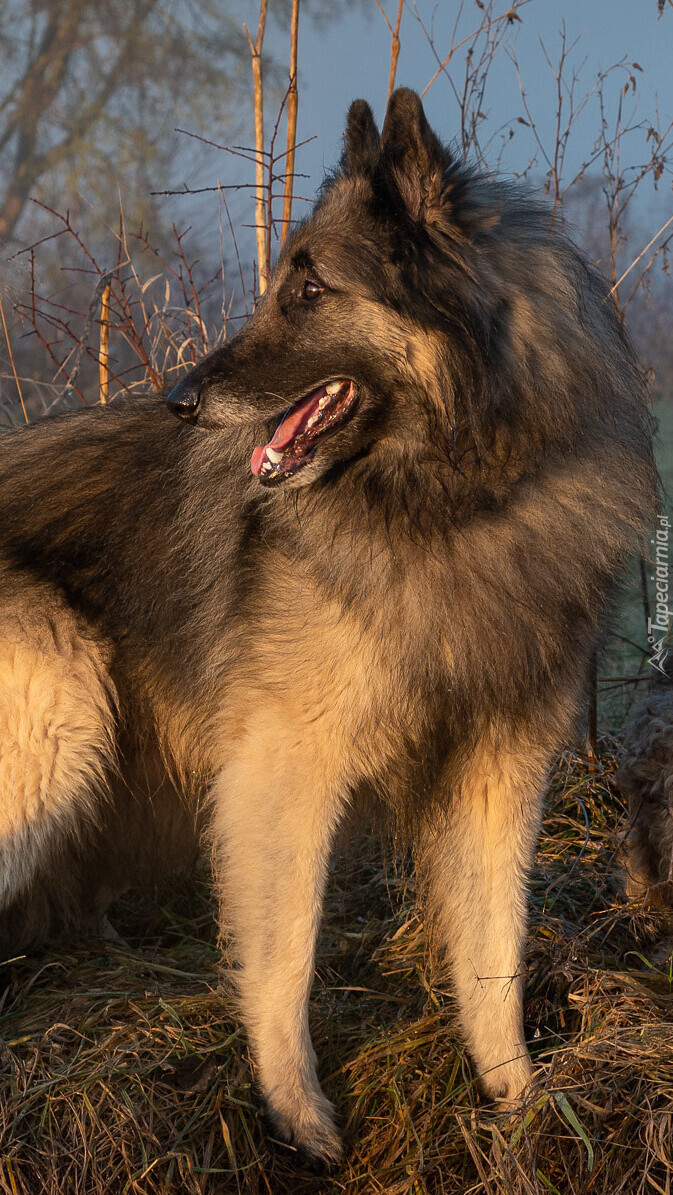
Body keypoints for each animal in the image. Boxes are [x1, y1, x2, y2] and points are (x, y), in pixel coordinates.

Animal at [0, 90, 659, 1156]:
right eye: (283, 286)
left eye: (311, 291)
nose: (180, 402)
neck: (451, 504)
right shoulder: (283, 771)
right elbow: (286, 953)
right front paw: (296, 1113)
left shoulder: (497, 771)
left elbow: (494, 952)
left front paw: (519, 1105)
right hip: (64, 719)